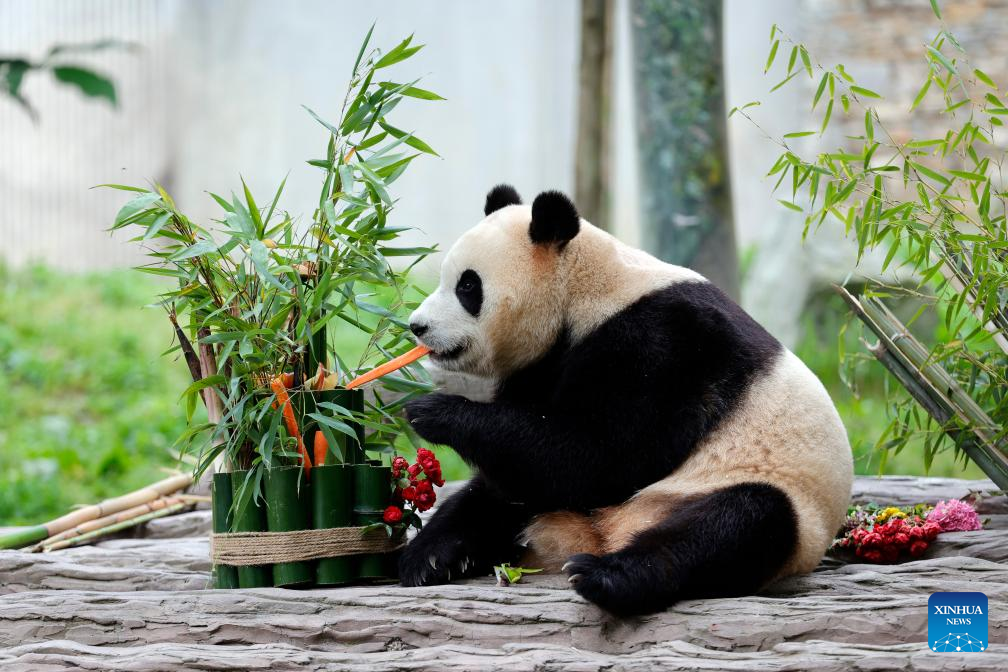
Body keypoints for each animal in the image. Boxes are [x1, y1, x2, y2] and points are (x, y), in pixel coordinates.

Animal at [397, 184, 854, 616]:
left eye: (467, 286)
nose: (417, 326)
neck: (583, 290)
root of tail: (604, 534)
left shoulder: (664, 344)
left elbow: (598, 457)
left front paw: (432, 411)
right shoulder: (545, 364)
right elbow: (536, 458)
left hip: (768, 499)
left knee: (738, 523)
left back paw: (606, 576)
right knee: (493, 495)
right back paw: (430, 557)